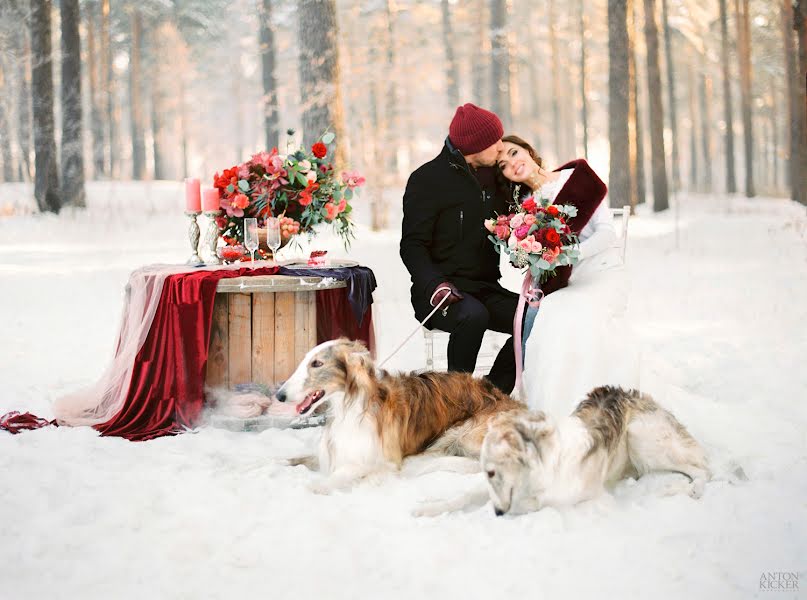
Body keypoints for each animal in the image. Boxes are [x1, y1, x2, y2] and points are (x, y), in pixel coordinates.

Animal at [274, 338, 524, 492]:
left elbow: (338, 477)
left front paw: (316, 487)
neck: (352, 405)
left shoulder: (384, 460)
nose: (279, 395)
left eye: (317, 363)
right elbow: (295, 459)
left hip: (465, 434)